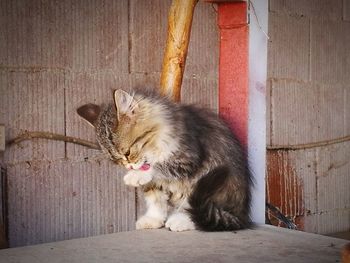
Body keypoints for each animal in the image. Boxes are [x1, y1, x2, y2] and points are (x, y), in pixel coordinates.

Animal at [76, 89, 252, 233]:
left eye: (127, 153)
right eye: (116, 161)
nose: (129, 166)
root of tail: (241, 214)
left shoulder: (187, 159)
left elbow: (159, 167)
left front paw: (135, 175)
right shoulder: (154, 183)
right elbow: (155, 199)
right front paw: (153, 219)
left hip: (206, 180)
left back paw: (181, 221)